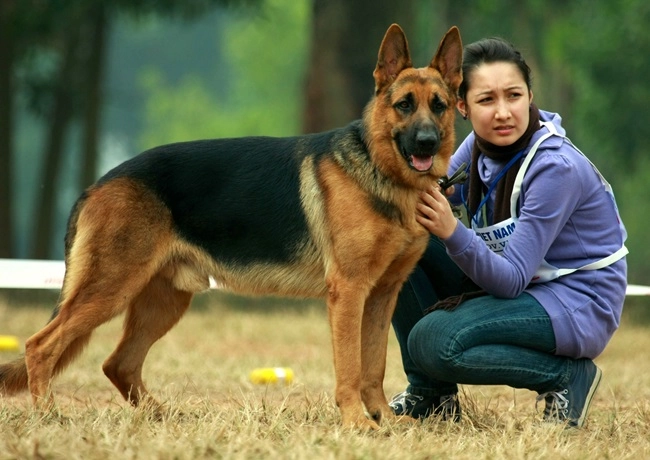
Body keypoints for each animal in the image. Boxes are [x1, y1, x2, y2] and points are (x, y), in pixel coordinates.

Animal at [0, 24, 460, 428]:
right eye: (404, 105)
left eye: (439, 105)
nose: (426, 143)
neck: (381, 172)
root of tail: (97, 184)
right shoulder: (348, 294)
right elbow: (350, 367)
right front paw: (357, 423)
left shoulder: (382, 297)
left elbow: (373, 366)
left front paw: (384, 419)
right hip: (110, 290)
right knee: (41, 346)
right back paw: (48, 415)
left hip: (163, 302)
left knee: (118, 364)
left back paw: (163, 416)